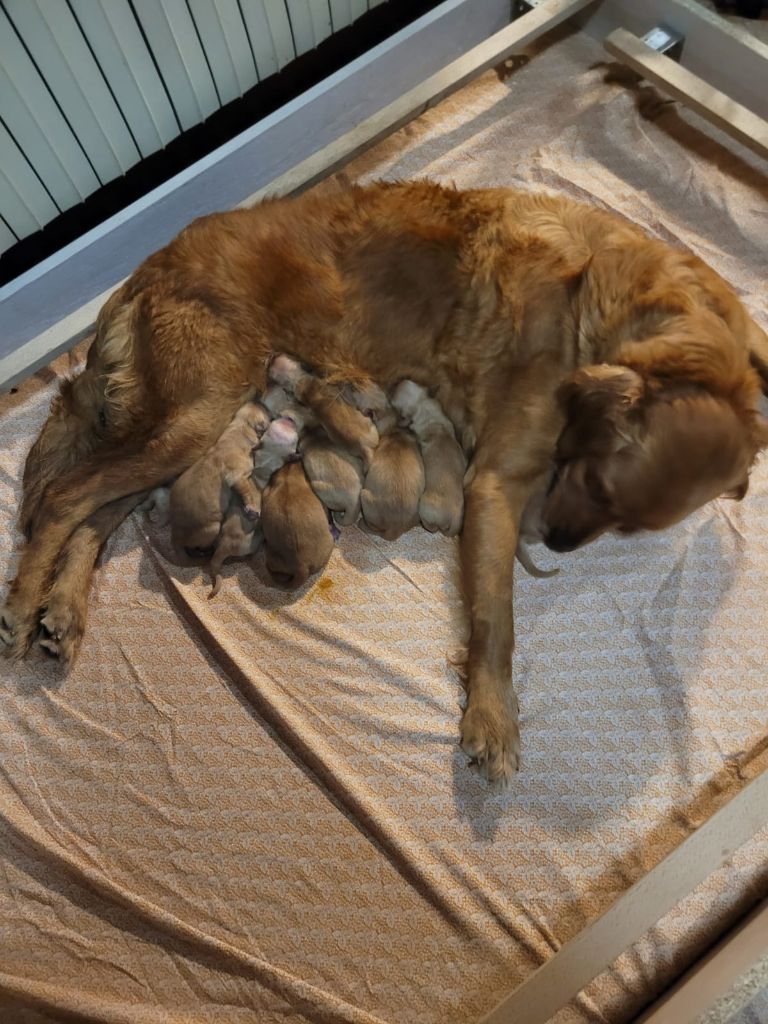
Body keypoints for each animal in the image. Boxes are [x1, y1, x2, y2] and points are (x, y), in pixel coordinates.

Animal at [168, 401, 270, 561]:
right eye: (266, 412)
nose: (259, 401)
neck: (240, 428)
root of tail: (175, 535)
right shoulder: (236, 477)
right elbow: (247, 492)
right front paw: (252, 508)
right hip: (212, 528)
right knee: (198, 546)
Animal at [393, 378, 466, 536]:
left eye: (393, 399)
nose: (394, 383)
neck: (422, 403)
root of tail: (454, 517)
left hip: (424, 507)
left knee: (432, 527)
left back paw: (423, 524)